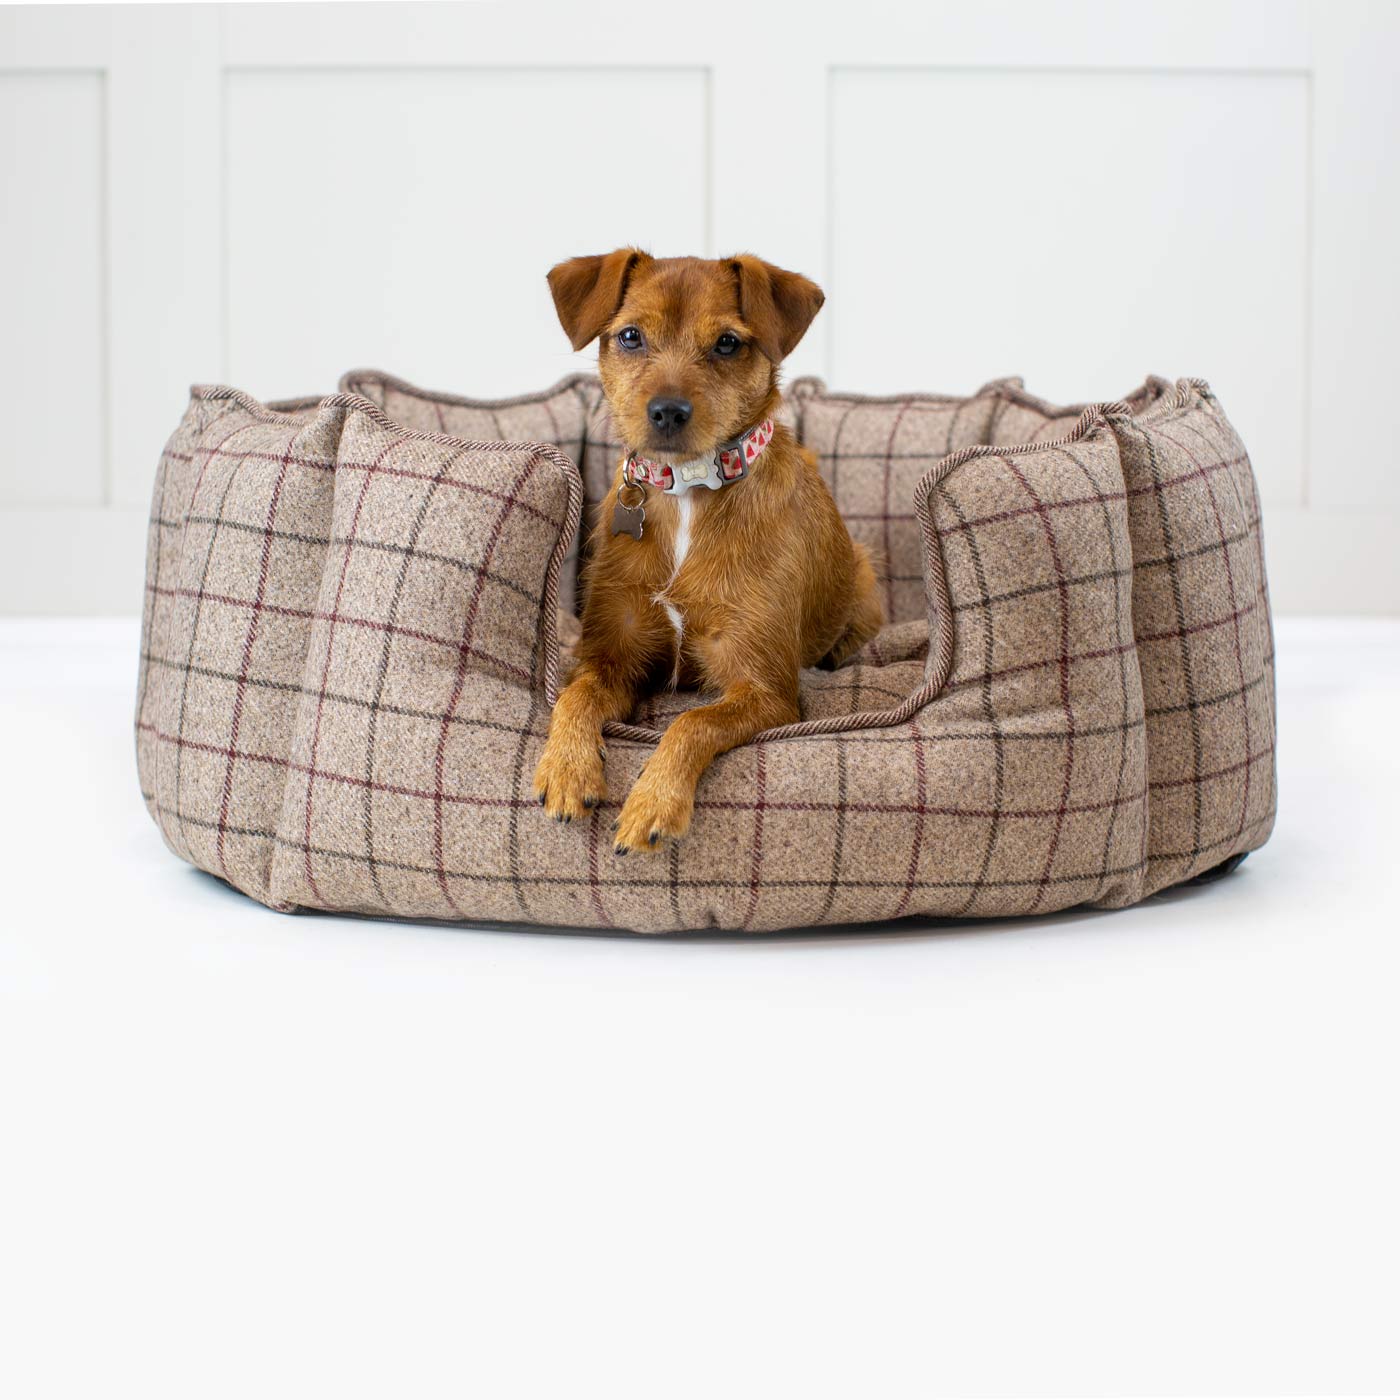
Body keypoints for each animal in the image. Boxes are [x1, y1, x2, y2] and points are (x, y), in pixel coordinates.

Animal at [533, 249, 883, 854]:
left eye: (726, 343)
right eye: (630, 336)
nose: (667, 411)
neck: (687, 495)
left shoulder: (766, 690)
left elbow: (692, 723)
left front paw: (654, 802)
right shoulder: (611, 657)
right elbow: (574, 694)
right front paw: (568, 769)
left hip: (863, 581)